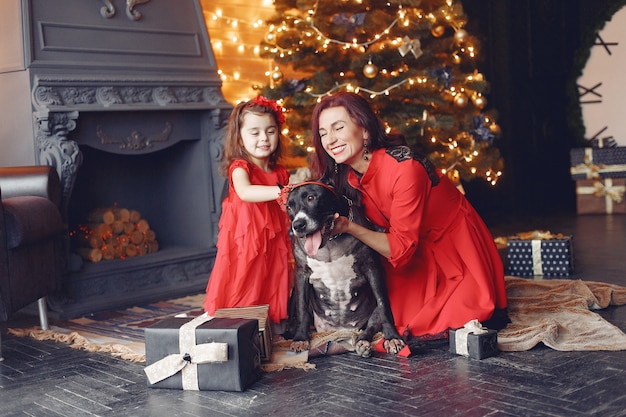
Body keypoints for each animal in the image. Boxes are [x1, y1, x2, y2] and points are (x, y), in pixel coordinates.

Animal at [280, 180, 402, 356]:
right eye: (289, 207)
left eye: (311, 197)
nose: (298, 225)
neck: (330, 241)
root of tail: (339, 332)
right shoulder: (301, 273)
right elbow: (302, 308)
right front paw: (301, 338)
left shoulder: (373, 268)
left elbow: (383, 305)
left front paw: (392, 337)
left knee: (371, 325)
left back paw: (362, 342)